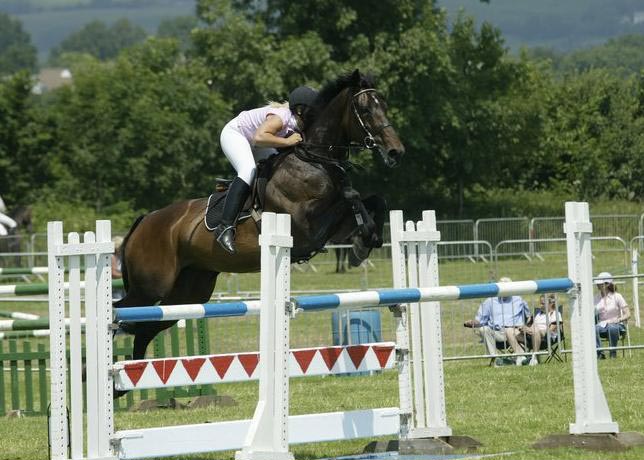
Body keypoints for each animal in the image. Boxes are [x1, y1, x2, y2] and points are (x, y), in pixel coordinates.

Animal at [115, 69, 402, 362]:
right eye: (365, 110)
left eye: (385, 105)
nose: (396, 151)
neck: (314, 159)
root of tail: (144, 220)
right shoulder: (304, 225)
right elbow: (351, 196)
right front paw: (362, 242)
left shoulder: (331, 228)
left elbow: (373, 200)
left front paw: (365, 242)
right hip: (151, 286)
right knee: (121, 312)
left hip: (188, 293)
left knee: (145, 329)